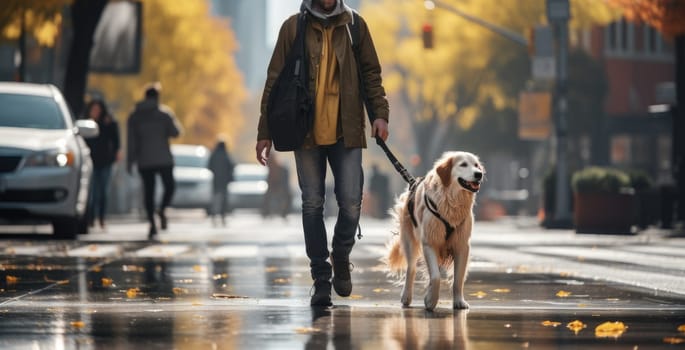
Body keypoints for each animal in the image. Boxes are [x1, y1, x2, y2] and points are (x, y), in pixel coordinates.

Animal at [384, 152, 480, 310]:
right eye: (463, 164)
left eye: (477, 165)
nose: (479, 174)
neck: (451, 200)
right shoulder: (429, 242)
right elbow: (435, 277)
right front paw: (430, 300)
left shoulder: (462, 245)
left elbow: (458, 278)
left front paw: (459, 301)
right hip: (409, 240)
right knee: (411, 268)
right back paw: (406, 296)